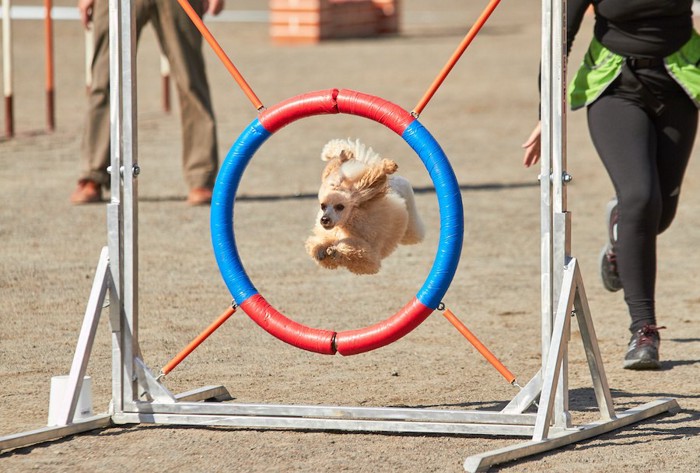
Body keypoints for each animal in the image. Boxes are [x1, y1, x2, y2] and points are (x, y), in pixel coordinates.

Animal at [306, 137, 426, 272]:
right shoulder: (328, 233)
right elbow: (317, 243)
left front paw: (337, 251)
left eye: (340, 207)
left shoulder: (370, 257)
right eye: (323, 206)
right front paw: (320, 250)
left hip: (411, 228)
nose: (324, 219)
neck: (348, 222)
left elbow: (358, 253)